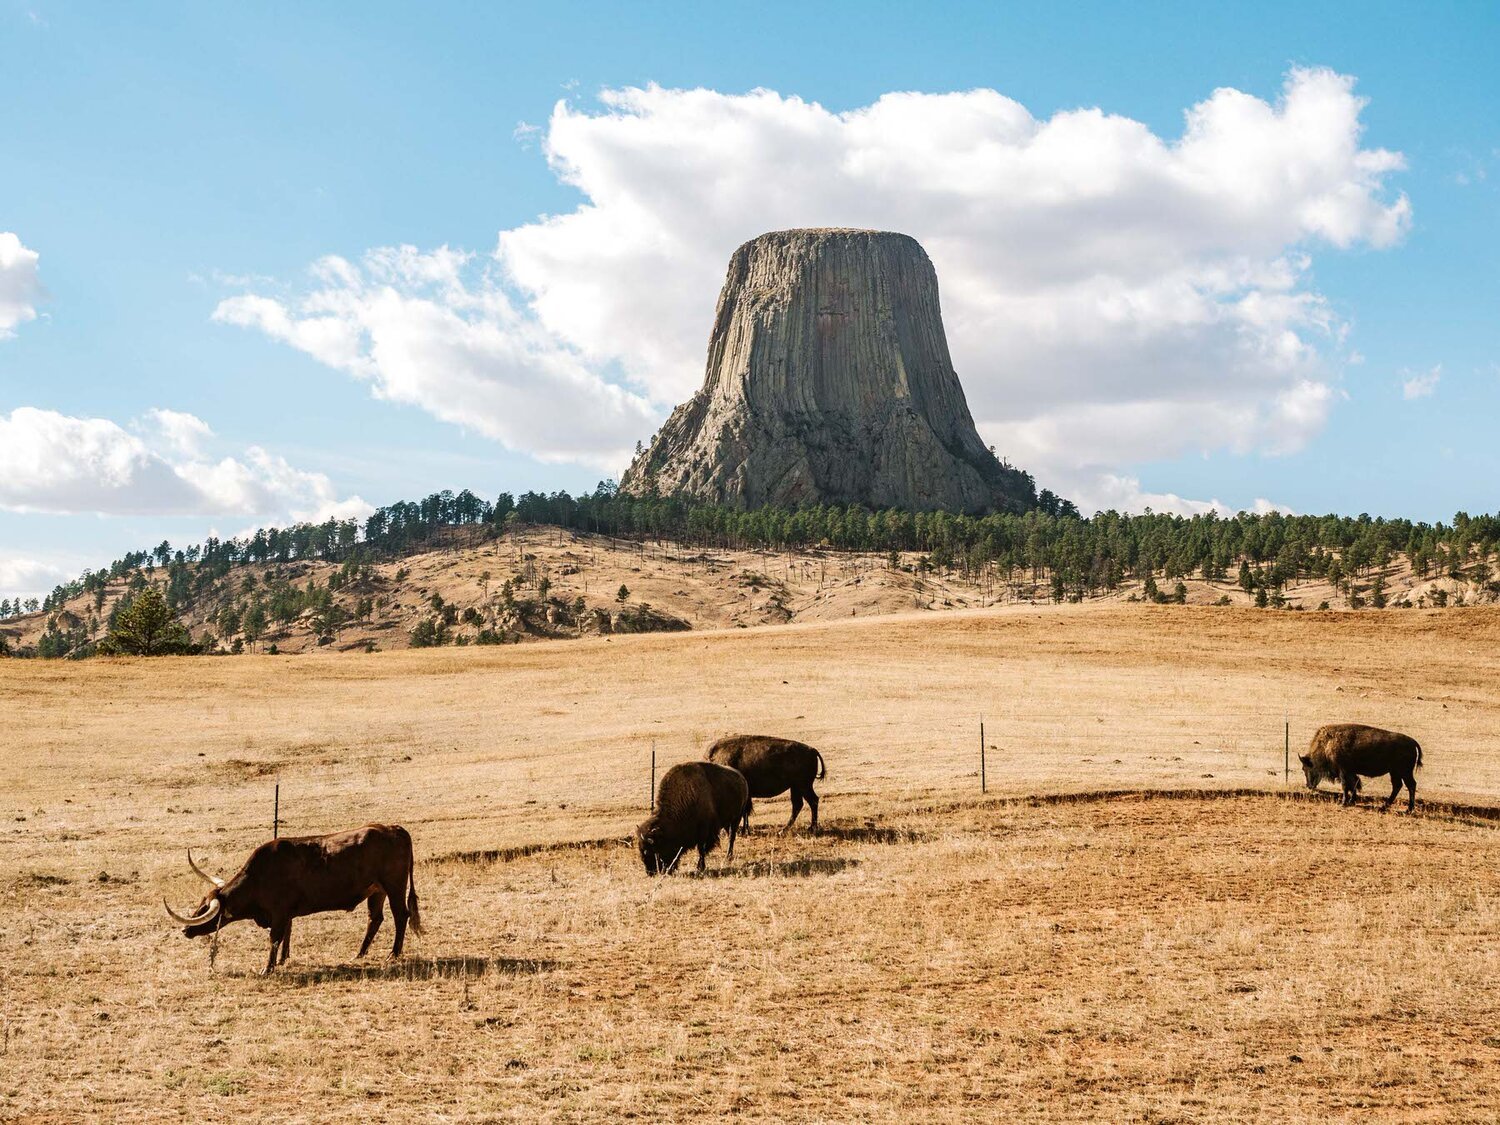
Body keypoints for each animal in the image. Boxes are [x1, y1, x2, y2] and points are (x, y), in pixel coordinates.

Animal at [162, 822, 423, 978]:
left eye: (206, 908)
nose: (185, 930)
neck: (260, 876)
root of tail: (394, 828)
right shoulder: (285, 914)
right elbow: (286, 935)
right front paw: (281, 961)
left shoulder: (278, 914)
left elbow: (274, 939)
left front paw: (267, 968)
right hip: (377, 891)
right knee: (375, 919)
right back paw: (359, 954)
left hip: (394, 887)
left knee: (401, 916)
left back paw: (393, 954)